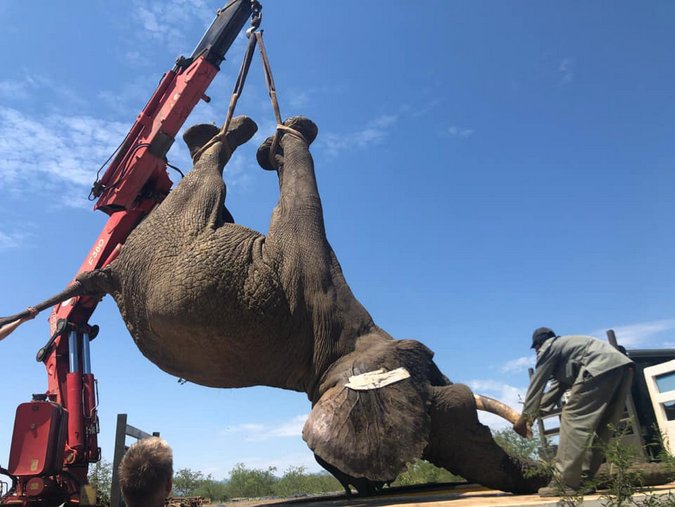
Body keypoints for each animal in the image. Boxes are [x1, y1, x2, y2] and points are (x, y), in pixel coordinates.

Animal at [0, 115, 548, 496]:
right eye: (464, 411)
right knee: (208, 177)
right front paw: (287, 138)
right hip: (176, 217)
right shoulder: (307, 267)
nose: (542, 480)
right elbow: (304, 206)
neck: (349, 343)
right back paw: (233, 131)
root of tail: (107, 273)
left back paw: (207, 135)